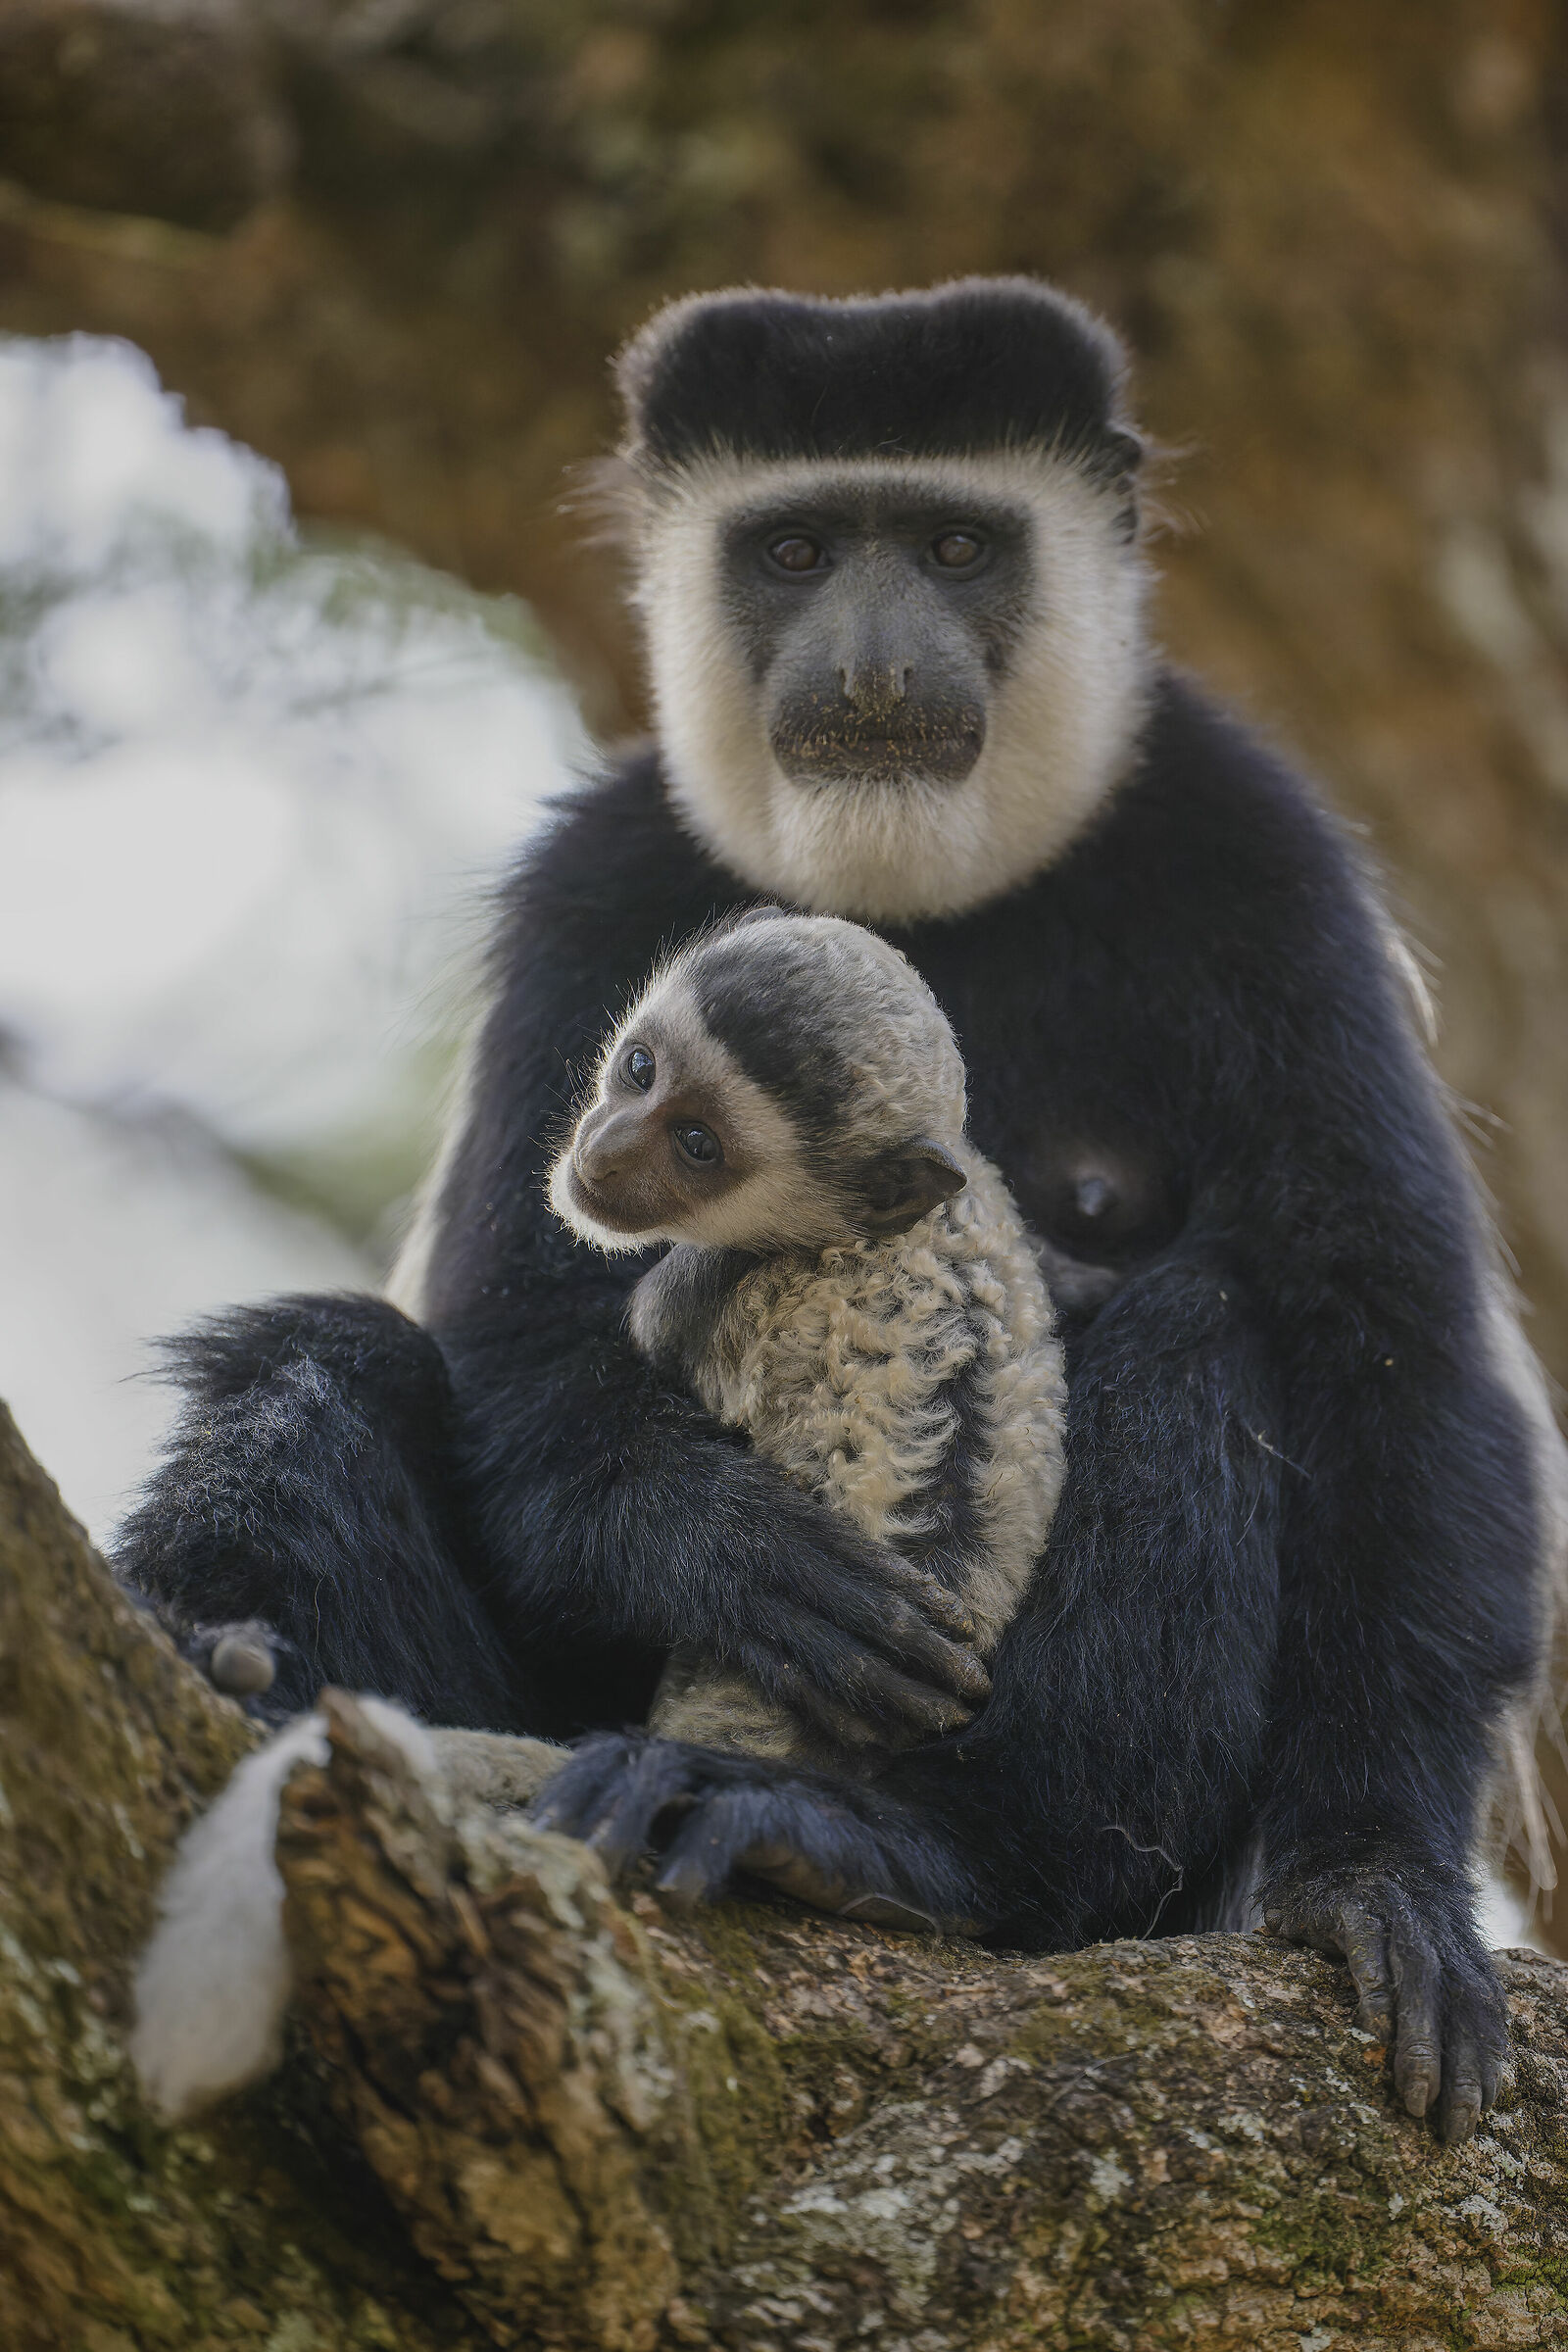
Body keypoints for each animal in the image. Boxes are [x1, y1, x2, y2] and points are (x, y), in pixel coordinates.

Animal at [115, 277, 1568, 2143]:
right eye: (797, 550)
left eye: (954, 545)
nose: (874, 664)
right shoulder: (597, 880)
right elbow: (515, 1321)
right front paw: (736, 1554)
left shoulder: (1259, 864)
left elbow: (1391, 1351)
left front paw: (1372, 1882)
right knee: (327, 1358)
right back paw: (230, 1653)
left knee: (1212, 1338)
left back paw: (910, 1856)